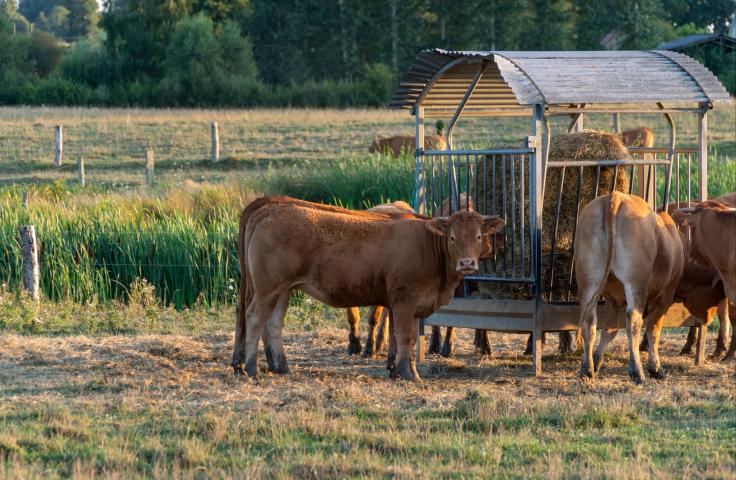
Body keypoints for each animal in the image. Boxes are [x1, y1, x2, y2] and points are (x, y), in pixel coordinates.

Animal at [234, 196, 504, 381]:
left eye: (478, 236)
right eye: (452, 238)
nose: (467, 263)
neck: (427, 246)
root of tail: (270, 210)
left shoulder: (409, 304)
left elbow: (401, 337)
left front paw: (399, 370)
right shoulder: (405, 300)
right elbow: (405, 336)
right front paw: (408, 374)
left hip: (282, 290)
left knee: (273, 324)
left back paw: (282, 366)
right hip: (267, 290)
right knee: (254, 318)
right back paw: (251, 368)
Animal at [575, 191, 685, 383]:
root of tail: (615, 196)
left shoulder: (613, 300)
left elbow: (609, 330)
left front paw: (597, 360)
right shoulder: (666, 296)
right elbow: (653, 330)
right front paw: (656, 368)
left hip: (589, 280)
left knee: (589, 320)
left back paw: (587, 369)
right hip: (636, 282)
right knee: (634, 320)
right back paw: (636, 370)